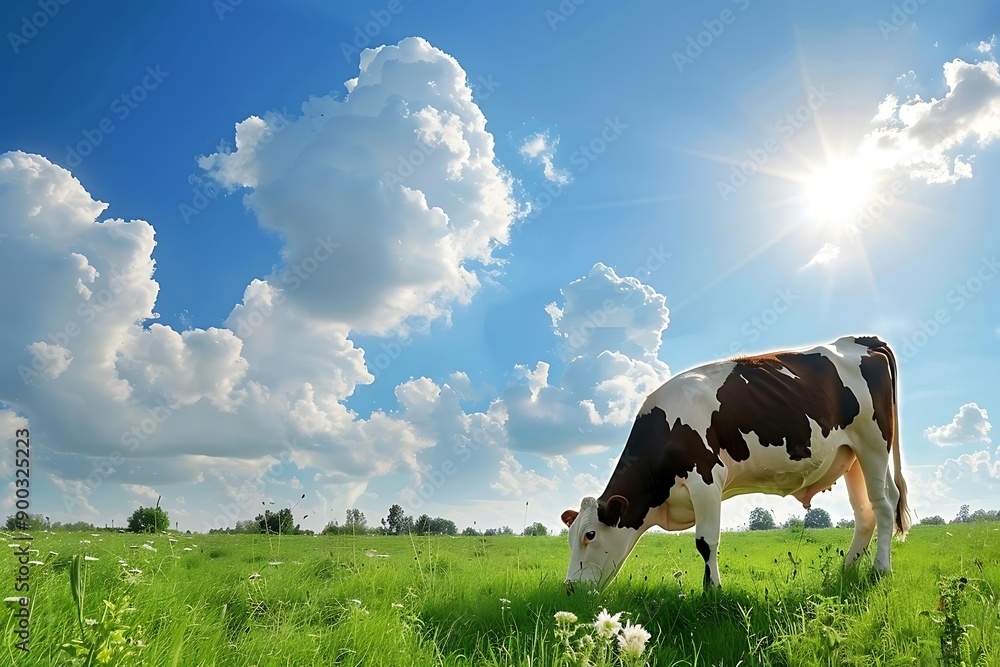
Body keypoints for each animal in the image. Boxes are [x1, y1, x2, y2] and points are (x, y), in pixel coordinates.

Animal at [560, 336, 912, 592]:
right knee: (864, 512)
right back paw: (848, 568)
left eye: (589, 535)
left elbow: (705, 542)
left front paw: (712, 591)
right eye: (570, 535)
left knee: (883, 505)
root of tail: (861, 340)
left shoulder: (705, 478)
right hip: (851, 456)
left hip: (873, 443)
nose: (570, 588)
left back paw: (881, 569)